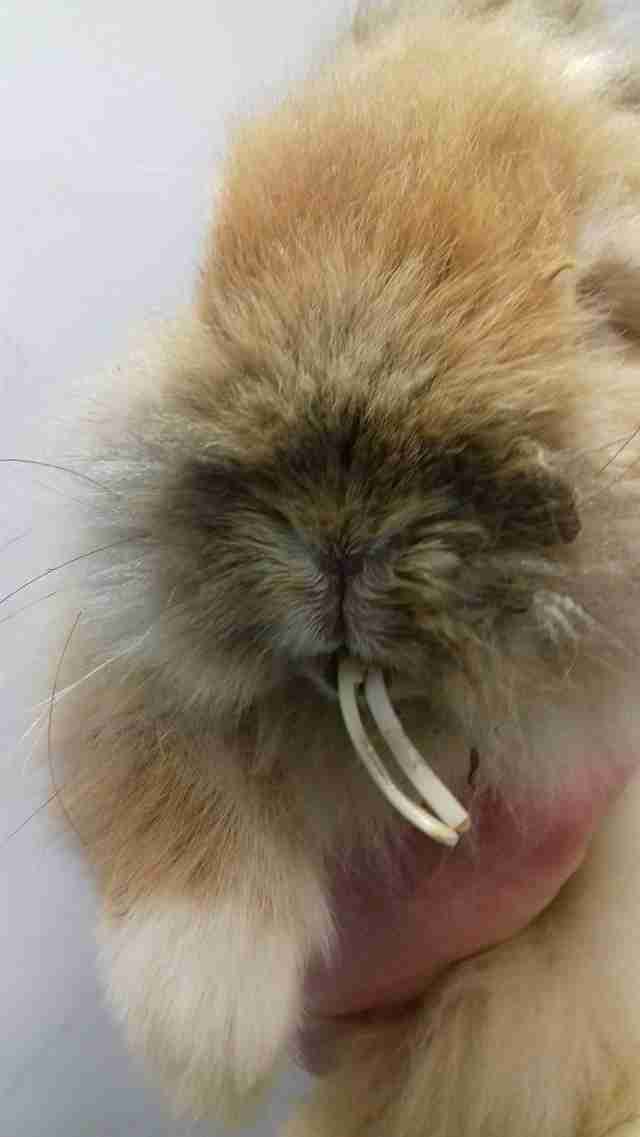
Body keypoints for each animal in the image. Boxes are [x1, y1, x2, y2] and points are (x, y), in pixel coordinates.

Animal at [50, 0, 640, 1134]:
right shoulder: (107, 650)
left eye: (605, 300)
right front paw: (207, 1015)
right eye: (216, 271)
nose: (339, 529)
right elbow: (146, 750)